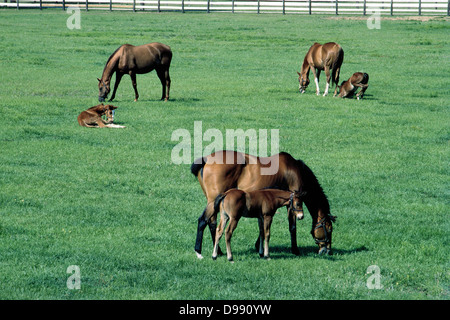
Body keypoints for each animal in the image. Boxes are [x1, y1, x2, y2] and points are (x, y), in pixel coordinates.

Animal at [191, 151, 338, 258]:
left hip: (215, 203)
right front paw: (295, 250)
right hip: (213, 201)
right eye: (329, 229)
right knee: (203, 220)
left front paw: (259, 247)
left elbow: (262, 229)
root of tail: (206, 159)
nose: (327, 251)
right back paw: (199, 251)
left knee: (212, 223)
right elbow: (292, 227)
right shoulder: (291, 204)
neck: (295, 170)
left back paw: (219, 251)